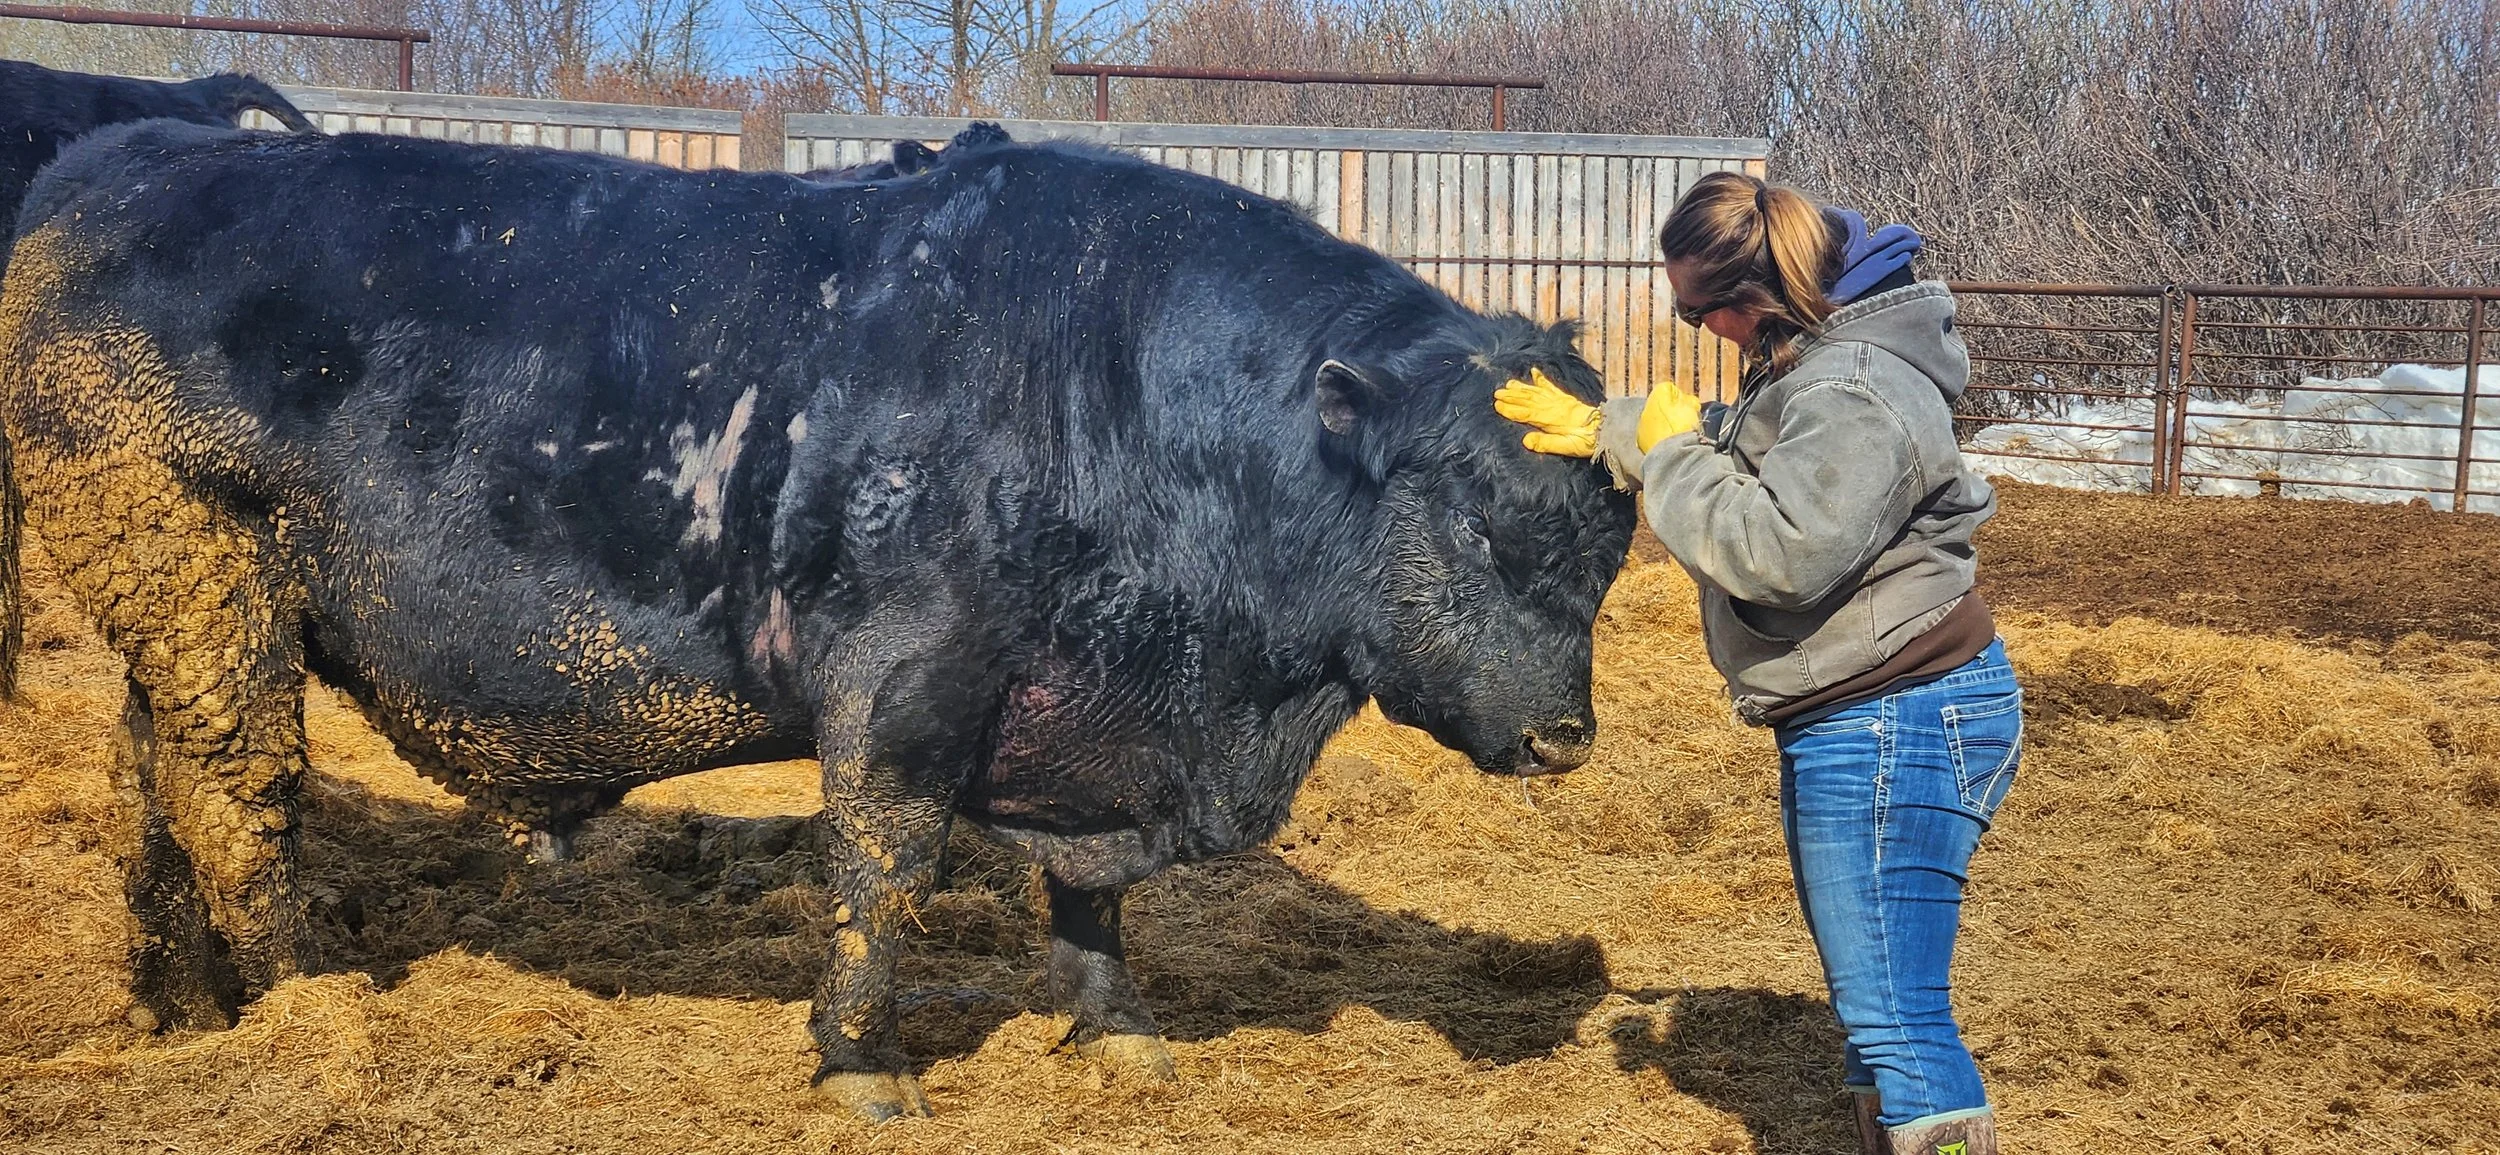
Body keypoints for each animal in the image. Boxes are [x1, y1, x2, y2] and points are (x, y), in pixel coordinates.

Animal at [0, 120, 1634, 1121]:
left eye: (1611, 544)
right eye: (1475, 520)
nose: (1568, 737)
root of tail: (123, 164)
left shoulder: (1080, 720)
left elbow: (1088, 900)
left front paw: (1116, 1028)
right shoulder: (909, 680)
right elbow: (883, 869)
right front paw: (862, 1059)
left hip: (179, 617)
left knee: (156, 793)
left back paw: (185, 1004)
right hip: (201, 591)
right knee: (239, 802)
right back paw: (314, 1003)